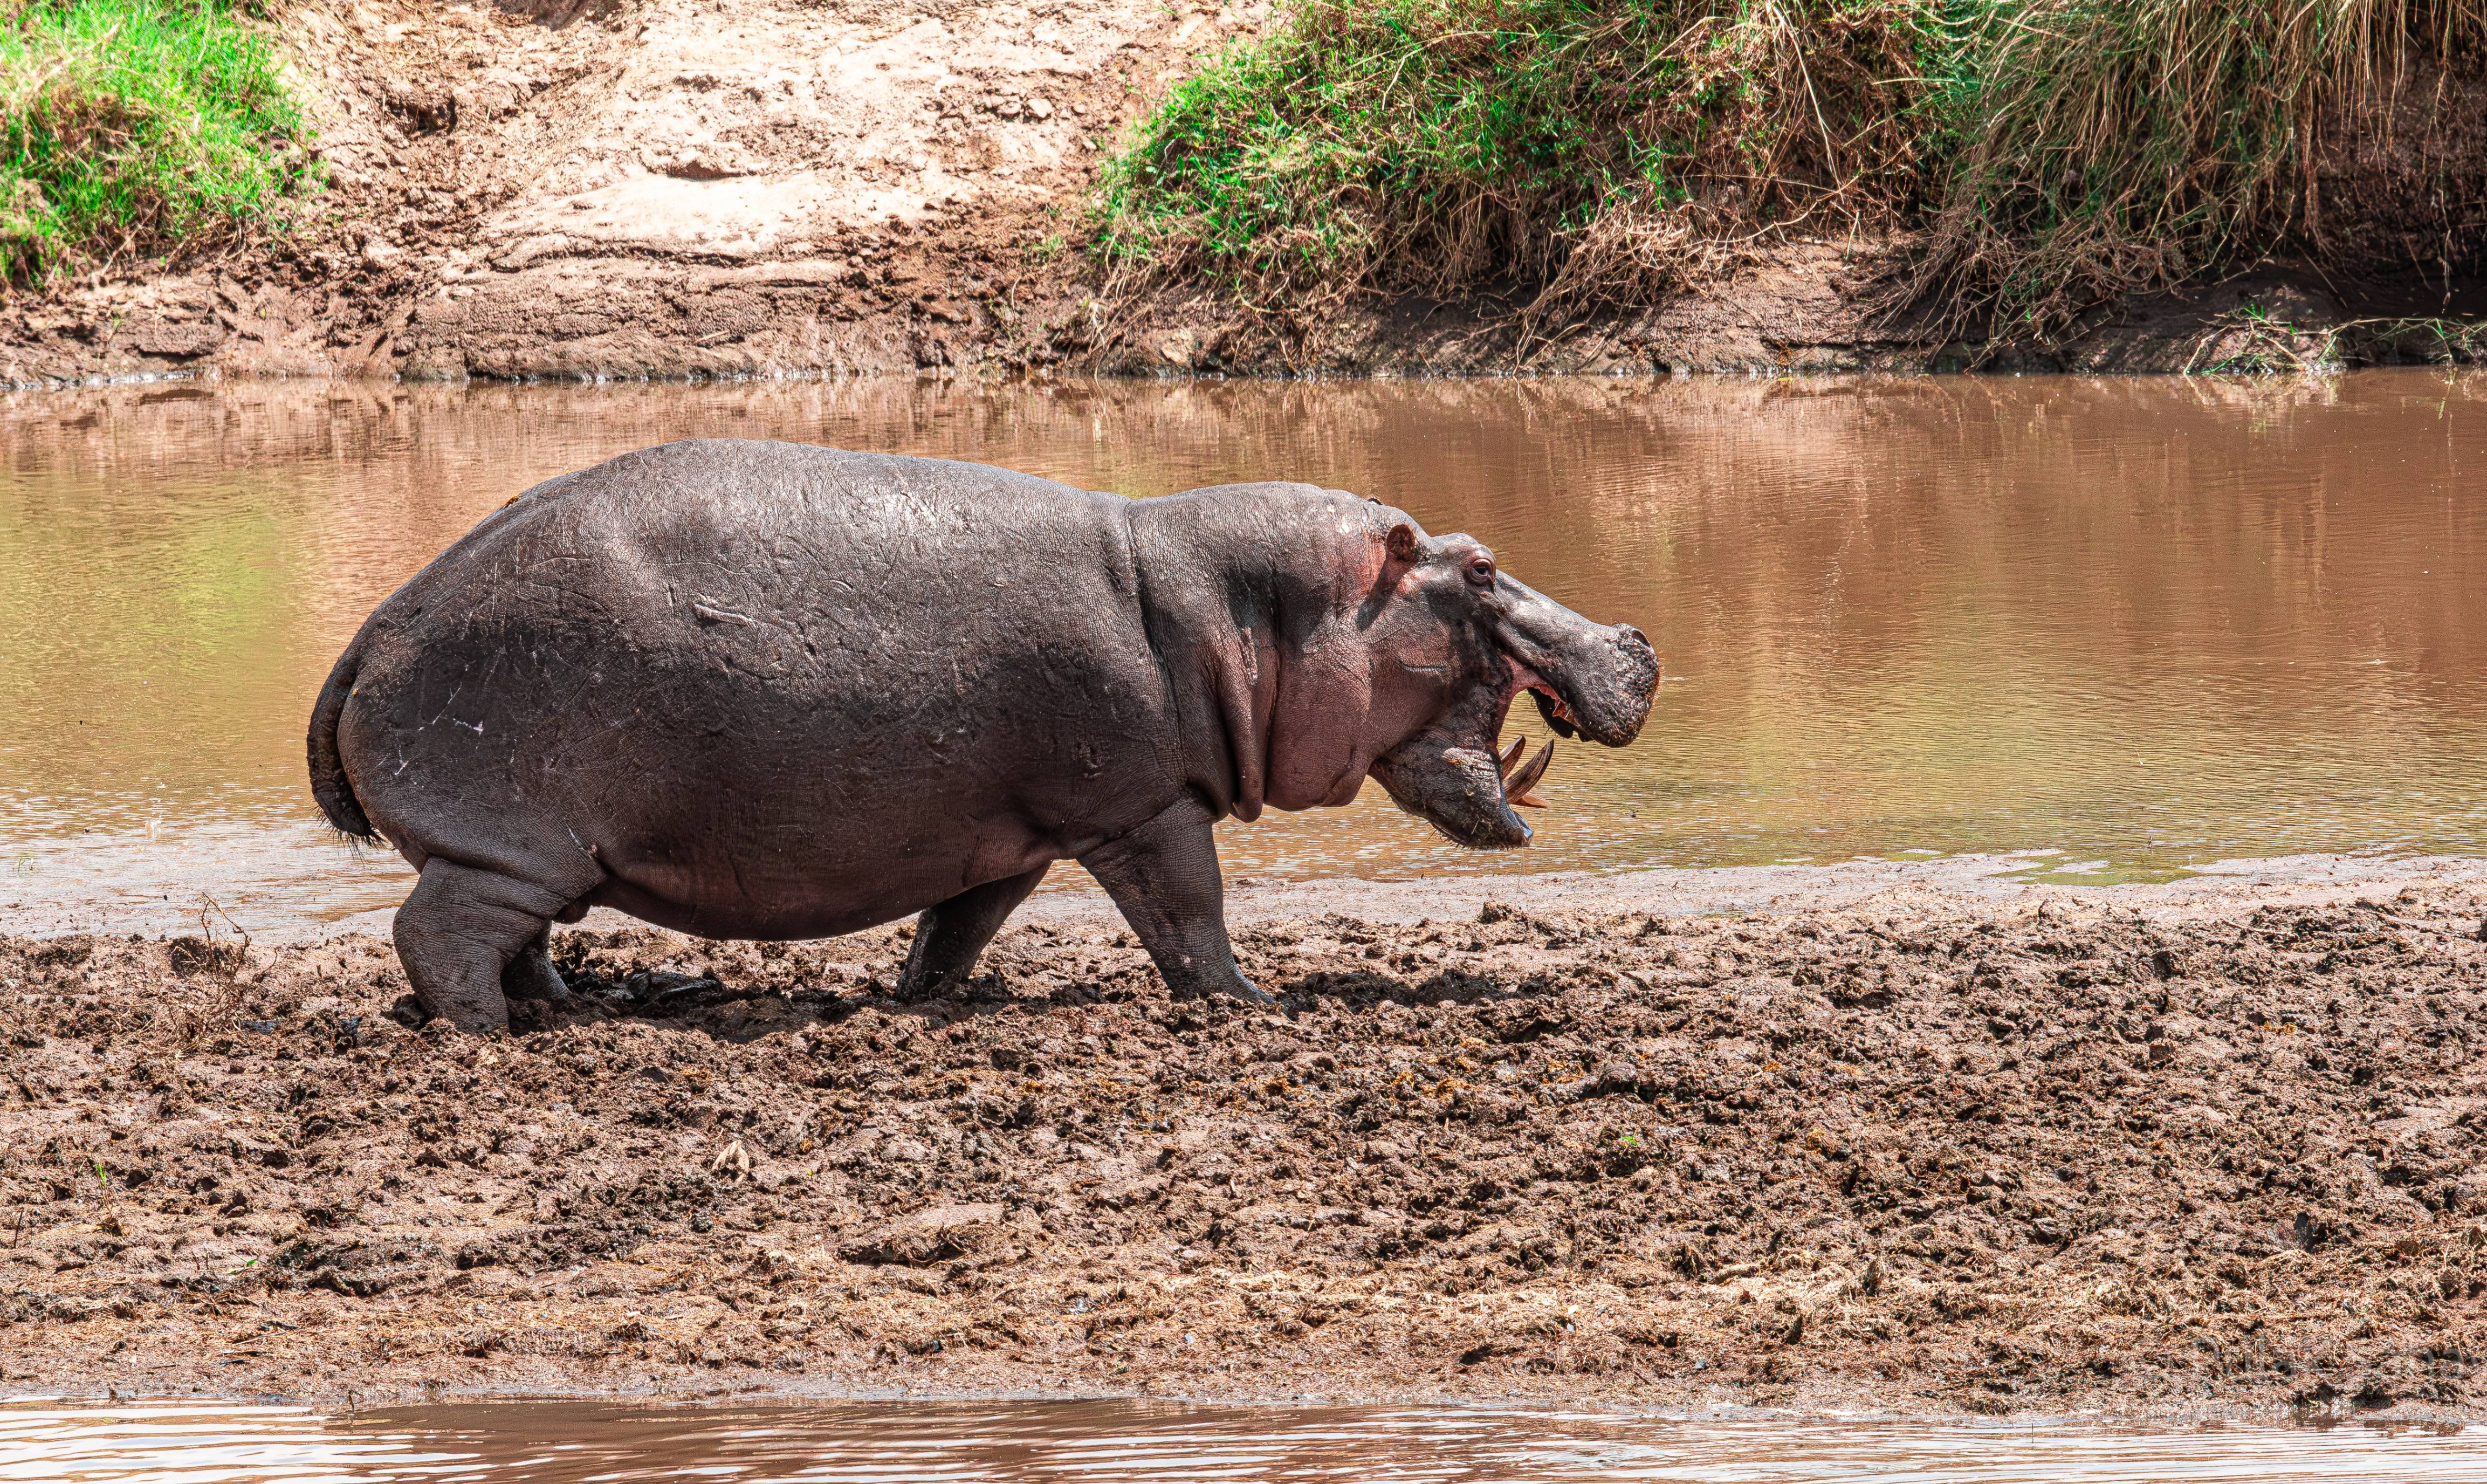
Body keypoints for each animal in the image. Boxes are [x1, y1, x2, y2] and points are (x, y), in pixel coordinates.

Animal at [307, 441, 1659, 1031]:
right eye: (1478, 566)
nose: (1638, 640)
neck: (1246, 608)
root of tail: (379, 620)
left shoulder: (1012, 833)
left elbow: (955, 928)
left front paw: (913, 1002)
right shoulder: (1142, 805)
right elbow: (1191, 914)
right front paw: (1253, 1005)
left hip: (541, 849)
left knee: (515, 937)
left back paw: (565, 1010)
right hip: (509, 835)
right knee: (438, 934)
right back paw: (493, 1039)